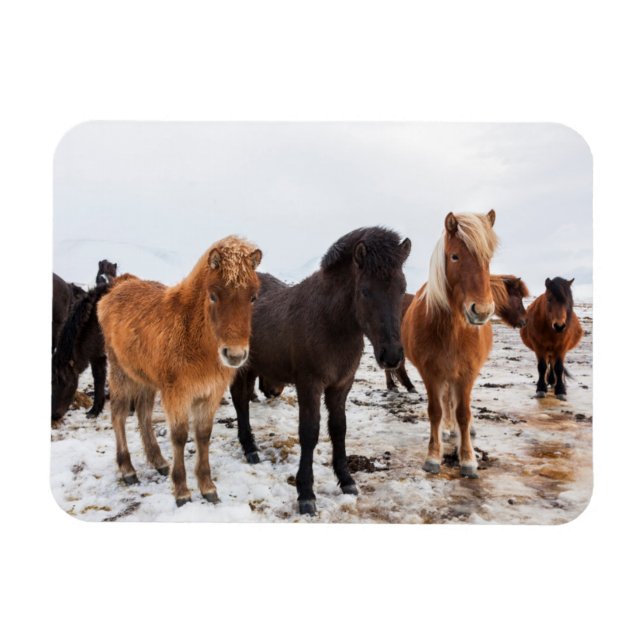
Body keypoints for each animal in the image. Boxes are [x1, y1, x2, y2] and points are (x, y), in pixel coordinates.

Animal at [97, 237, 262, 506]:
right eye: (213, 295)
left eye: (253, 297)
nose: (235, 355)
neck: (192, 334)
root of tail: (119, 286)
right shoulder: (177, 394)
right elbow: (180, 436)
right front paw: (182, 490)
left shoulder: (210, 393)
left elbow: (203, 435)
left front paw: (207, 487)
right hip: (121, 373)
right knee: (119, 415)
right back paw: (128, 469)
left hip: (146, 380)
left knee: (143, 414)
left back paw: (158, 461)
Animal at [230, 227, 411, 515]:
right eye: (365, 291)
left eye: (402, 289)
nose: (392, 356)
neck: (330, 321)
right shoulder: (309, 384)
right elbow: (310, 432)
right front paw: (306, 493)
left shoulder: (341, 385)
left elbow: (338, 428)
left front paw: (346, 480)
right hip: (241, 367)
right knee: (240, 401)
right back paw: (250, 449)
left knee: (245, 398)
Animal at [401, 211, 498, 478]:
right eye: (455, 256)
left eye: (488, 258)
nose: (481, 311)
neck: (453, 331)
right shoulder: (431, 373)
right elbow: (436, 411)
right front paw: (433, 456)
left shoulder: (466, 373)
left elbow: (463, 414)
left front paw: (468, 459)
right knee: (446, 403)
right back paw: (447, 428)